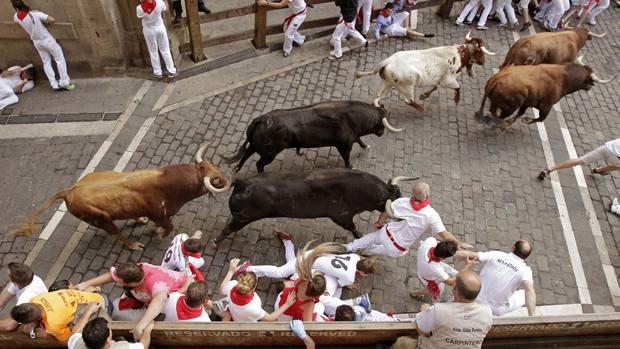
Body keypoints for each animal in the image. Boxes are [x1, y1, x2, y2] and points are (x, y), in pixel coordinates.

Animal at [16, 143, 230, 249]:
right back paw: (134, 245)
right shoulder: (159, 214)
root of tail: (68, 191)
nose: (226, 179)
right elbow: (169, 228)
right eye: (215, 180)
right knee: (116, 233)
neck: (169, 184)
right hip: (101, 219)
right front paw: (158, 234)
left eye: (213, 166)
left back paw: (140, 220)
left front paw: (154, 230)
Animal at [211, 168, 414, 243]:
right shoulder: (341, 216)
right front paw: (360, 237)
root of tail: (243, 183)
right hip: (242, 218)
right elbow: (353, 228)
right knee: (228, 228)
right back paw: (216, 241)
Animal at [225, 100, 400, 172]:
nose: (382, 133)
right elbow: (347, 156)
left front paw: (366, 146)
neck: (351, 117)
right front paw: (350, 166)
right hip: (269, 154)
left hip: (256, 146)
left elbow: (359, 139)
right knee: (259, 164)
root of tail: (262, 119)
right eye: (381, 123)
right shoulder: (344, 145)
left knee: (247, 153)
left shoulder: (352, 137)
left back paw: (237, 168)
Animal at [356, 31, 496, 111]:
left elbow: (435, 87)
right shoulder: (448, 80)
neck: (459, 54)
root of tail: (387, 61)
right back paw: (421, 109)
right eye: (481, 52)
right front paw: (456, 100)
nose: (483, 62)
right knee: (408, 100)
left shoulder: (439, 80)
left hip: (387, 83)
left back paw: (381, 106)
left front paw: (424, 96)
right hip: (407, 86)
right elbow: (458, 87)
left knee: (377, 98)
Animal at [474, 62, 616, 128]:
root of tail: (496, 79)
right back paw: (500, 123)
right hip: (509, 107)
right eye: (588, 80)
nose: (591, 86)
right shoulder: (546, 106)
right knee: (497, 114)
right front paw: (524, 121)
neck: (563, 78)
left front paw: (512, 122)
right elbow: (540, 119)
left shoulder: (526, 103)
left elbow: (521, 113)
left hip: (499, 102)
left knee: (494, 111)